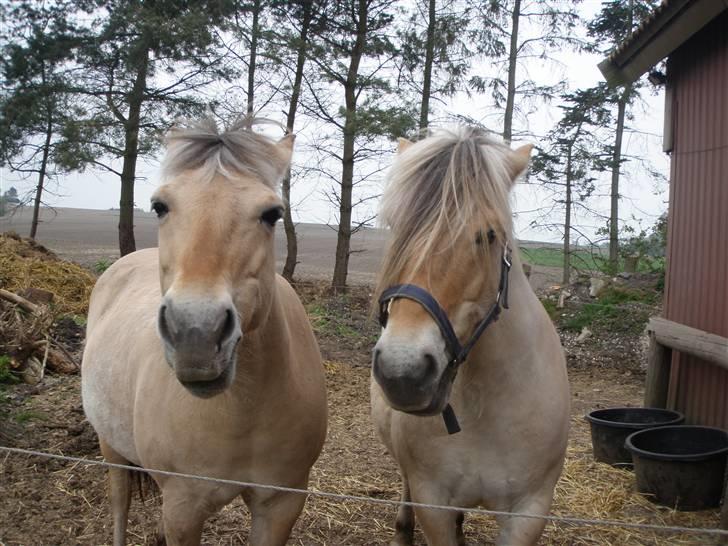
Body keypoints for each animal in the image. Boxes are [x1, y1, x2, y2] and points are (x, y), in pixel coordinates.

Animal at [82, 118, 328, 544]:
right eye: (160, 206)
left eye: (272, 213)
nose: (196, 333)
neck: (243, 410)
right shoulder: (184, 507)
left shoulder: (281, 503)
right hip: (111, 446)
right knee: (119, 503)